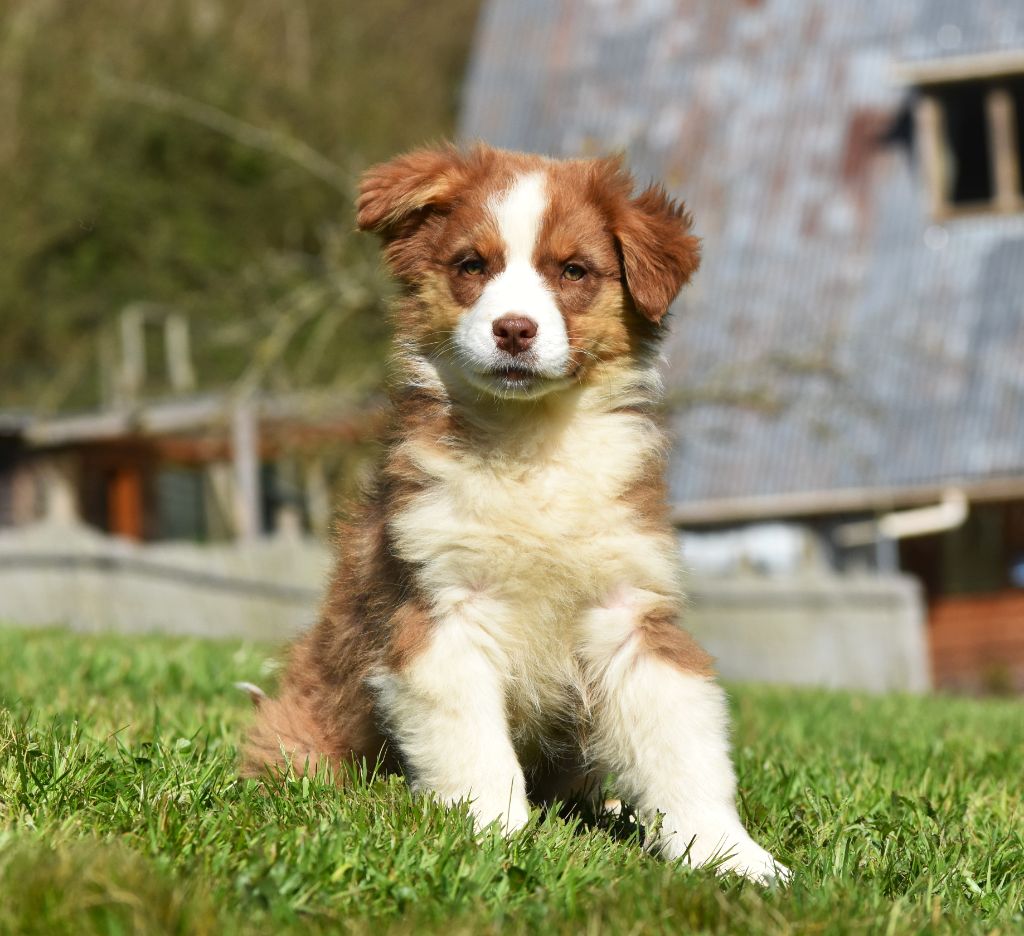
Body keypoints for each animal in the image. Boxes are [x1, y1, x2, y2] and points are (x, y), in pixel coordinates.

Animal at [243, 143, 787, 883]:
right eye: (473, 265)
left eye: (574, 271)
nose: (513, 330)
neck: (531, 443)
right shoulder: (438, 607)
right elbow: (473, 745)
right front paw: (491, 834)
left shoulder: (630, 611)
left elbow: (683, 748)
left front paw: (732, 857)